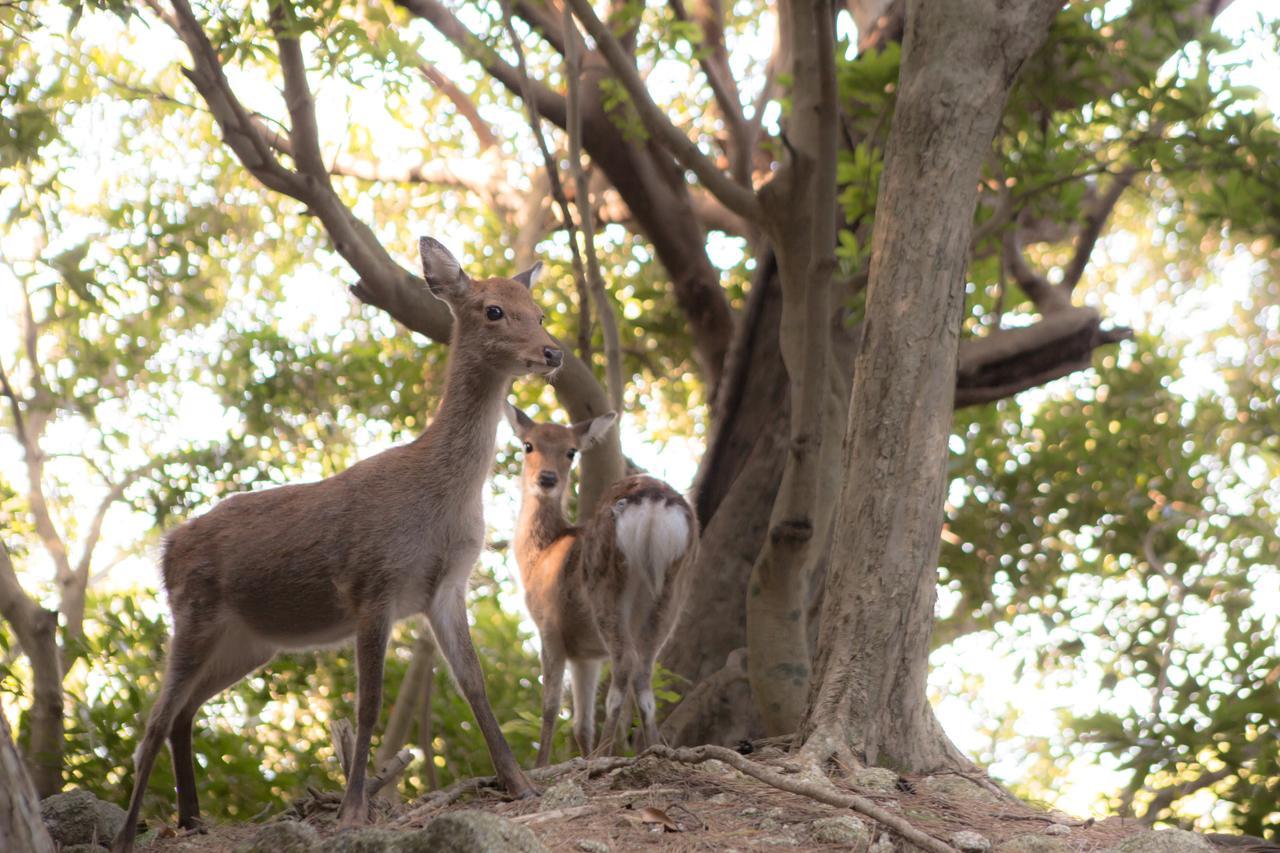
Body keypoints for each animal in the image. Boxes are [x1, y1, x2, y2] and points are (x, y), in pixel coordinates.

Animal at [113, 235, 560, 845]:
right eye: (493, 310)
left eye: (539, 311)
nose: (553, 352)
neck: (441, 501)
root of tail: (165, 550)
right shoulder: (375, 582)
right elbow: (369, 704)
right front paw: (352, 811)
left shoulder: (445, 588)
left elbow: (476, 685)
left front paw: (521, 785)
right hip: (194, 614)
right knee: (155, 719)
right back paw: (125, 834)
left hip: (251, 640)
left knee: (183, 713)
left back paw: (193, 819)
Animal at [504, 404, 696, 763]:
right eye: (528, 445)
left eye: (571, 451)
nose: (547, 479)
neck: (541, 555)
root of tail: (653, 504)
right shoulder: (586, 654)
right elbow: (581, 724)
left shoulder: (549, 626)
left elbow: (550, 706)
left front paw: (539, 765)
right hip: (674, 587)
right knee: (644, 668)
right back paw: (653, 748)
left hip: (605, 583)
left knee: (626, 661)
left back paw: (606, 752)